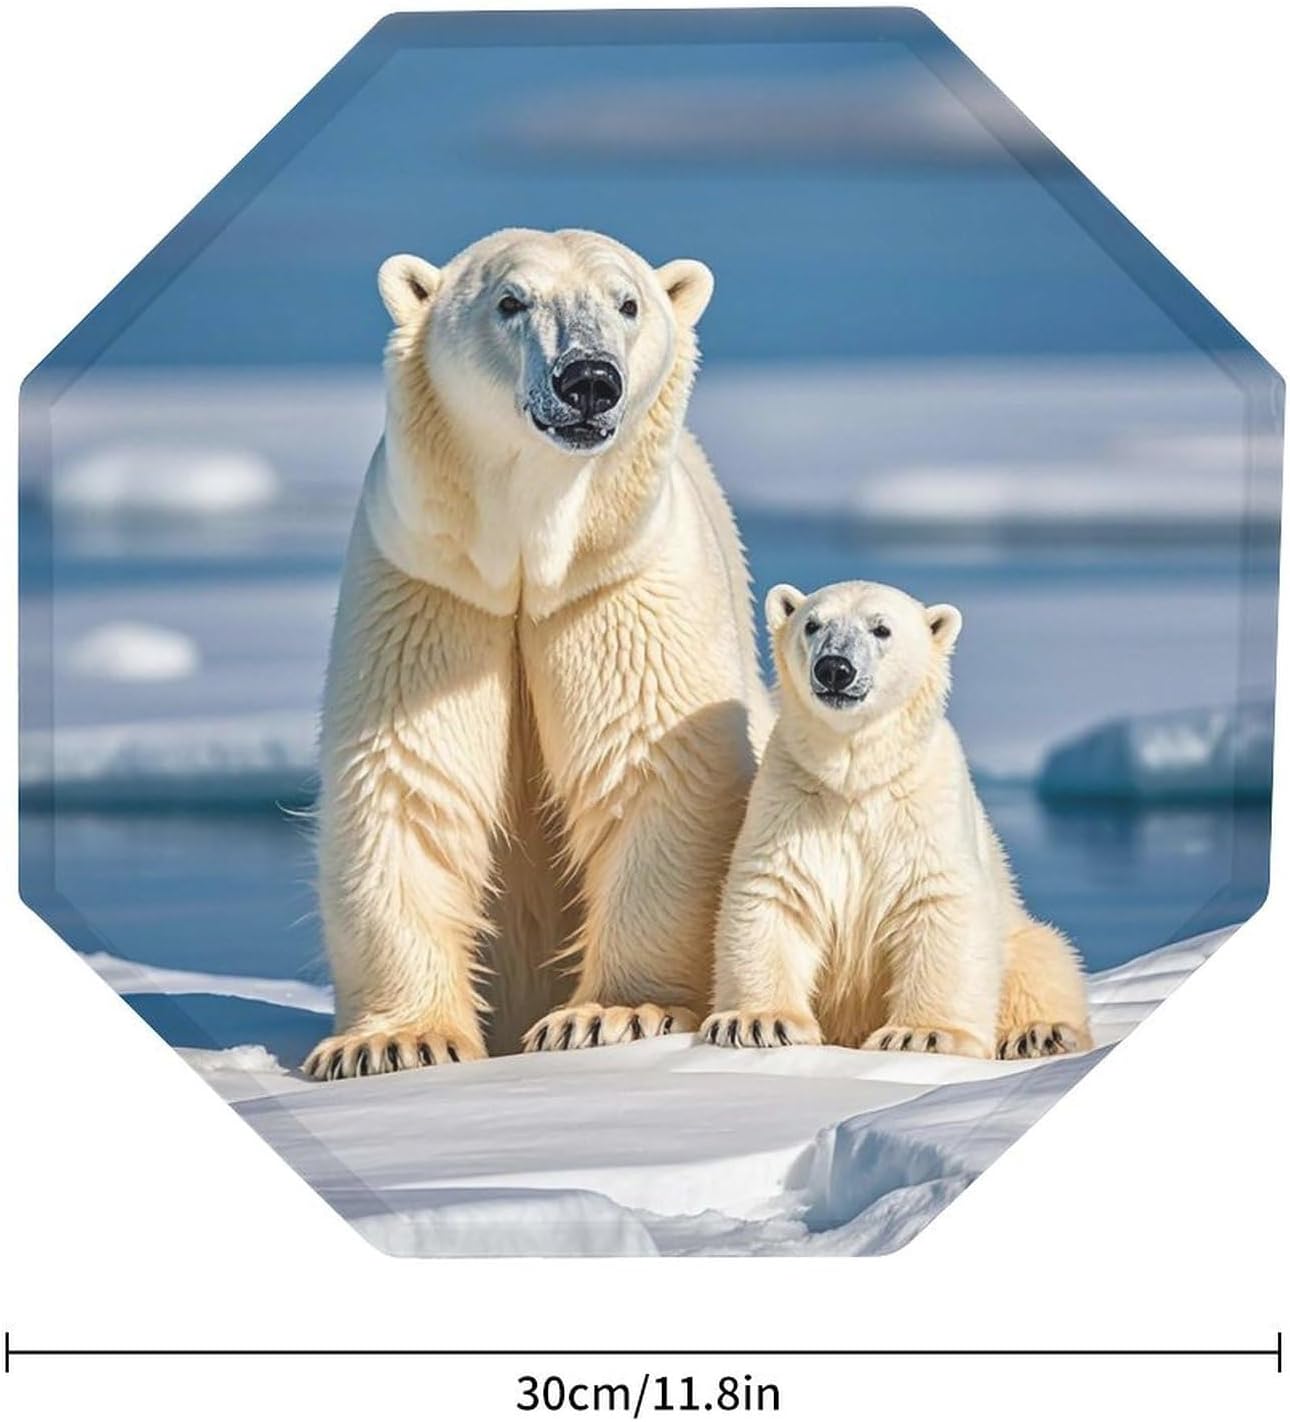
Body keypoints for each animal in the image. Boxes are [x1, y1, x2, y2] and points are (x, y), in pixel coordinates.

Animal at [303, 228, 772, 1080]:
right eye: (511, 301)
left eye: (628, 302)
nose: (588, 379)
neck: (530, 547)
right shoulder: (432, 589)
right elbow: (409, 776)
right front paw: (396, 1041)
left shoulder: (618, 586)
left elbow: (653, 765)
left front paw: (615, 1015)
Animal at [700, 579, 1092, 1060]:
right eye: (812, 624)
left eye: (881, 629)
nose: (835, 668)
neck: (855, 777)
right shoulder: (790, 797)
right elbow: (774, 894)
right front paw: (757, 1022)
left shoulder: (924, 809)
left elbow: (939, 904)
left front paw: (921, 1034)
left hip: (1018, 934)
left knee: (1045, 959)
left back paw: (1039, 1034)